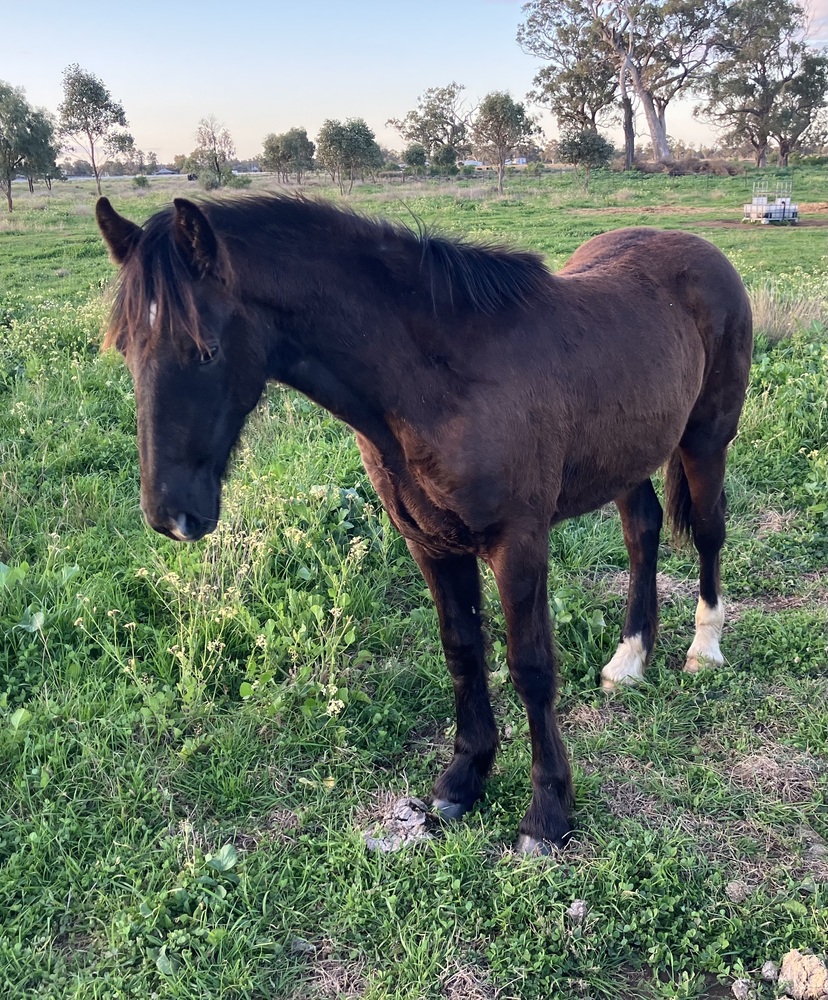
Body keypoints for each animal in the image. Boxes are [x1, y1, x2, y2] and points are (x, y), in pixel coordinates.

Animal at [96, 193, 753, 852]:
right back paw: (630, 660)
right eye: (126, 350)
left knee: (710, 533)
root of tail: (700, 250)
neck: (441, 380)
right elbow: (462, 650)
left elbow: (531, 666)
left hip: (706, 440)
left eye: (205, 349)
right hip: (628, 456)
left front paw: (547, 813)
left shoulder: (519, 543)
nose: (170, 515)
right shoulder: (431, 545)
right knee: (642, 532)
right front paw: (463, 779)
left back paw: (704, 648)